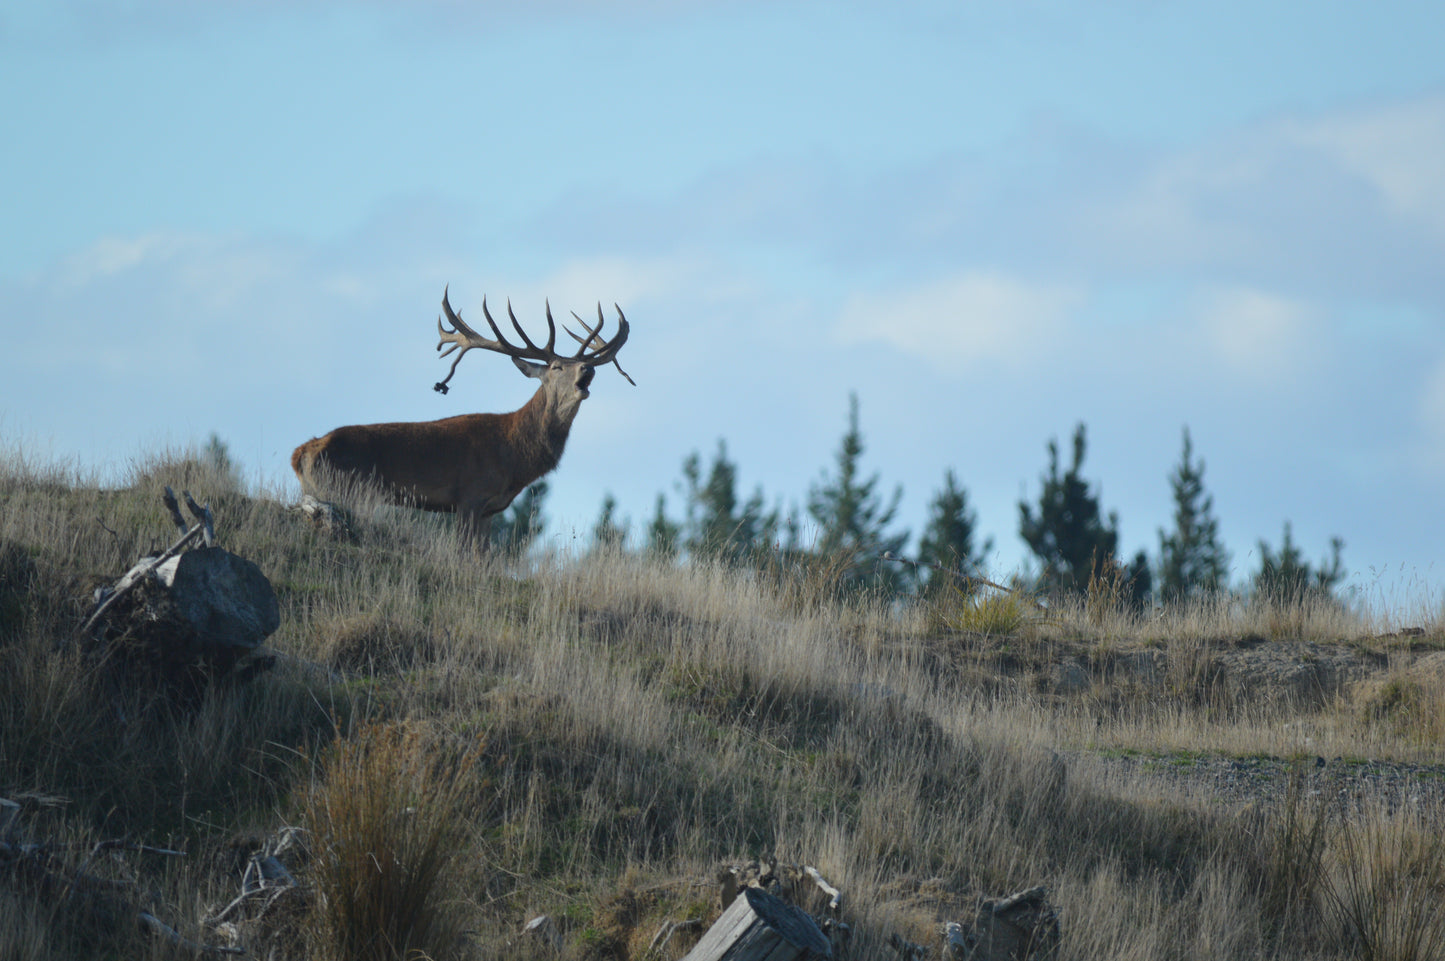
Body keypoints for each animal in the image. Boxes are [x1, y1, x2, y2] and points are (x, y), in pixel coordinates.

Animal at [291, 287, 634, 548]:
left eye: (582, 365)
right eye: (557, 366)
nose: (587, 369)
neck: (515, 458)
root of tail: (300, 454)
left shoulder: (490, 509)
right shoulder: (470, 494)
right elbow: (464, 554)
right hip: (342, 488)